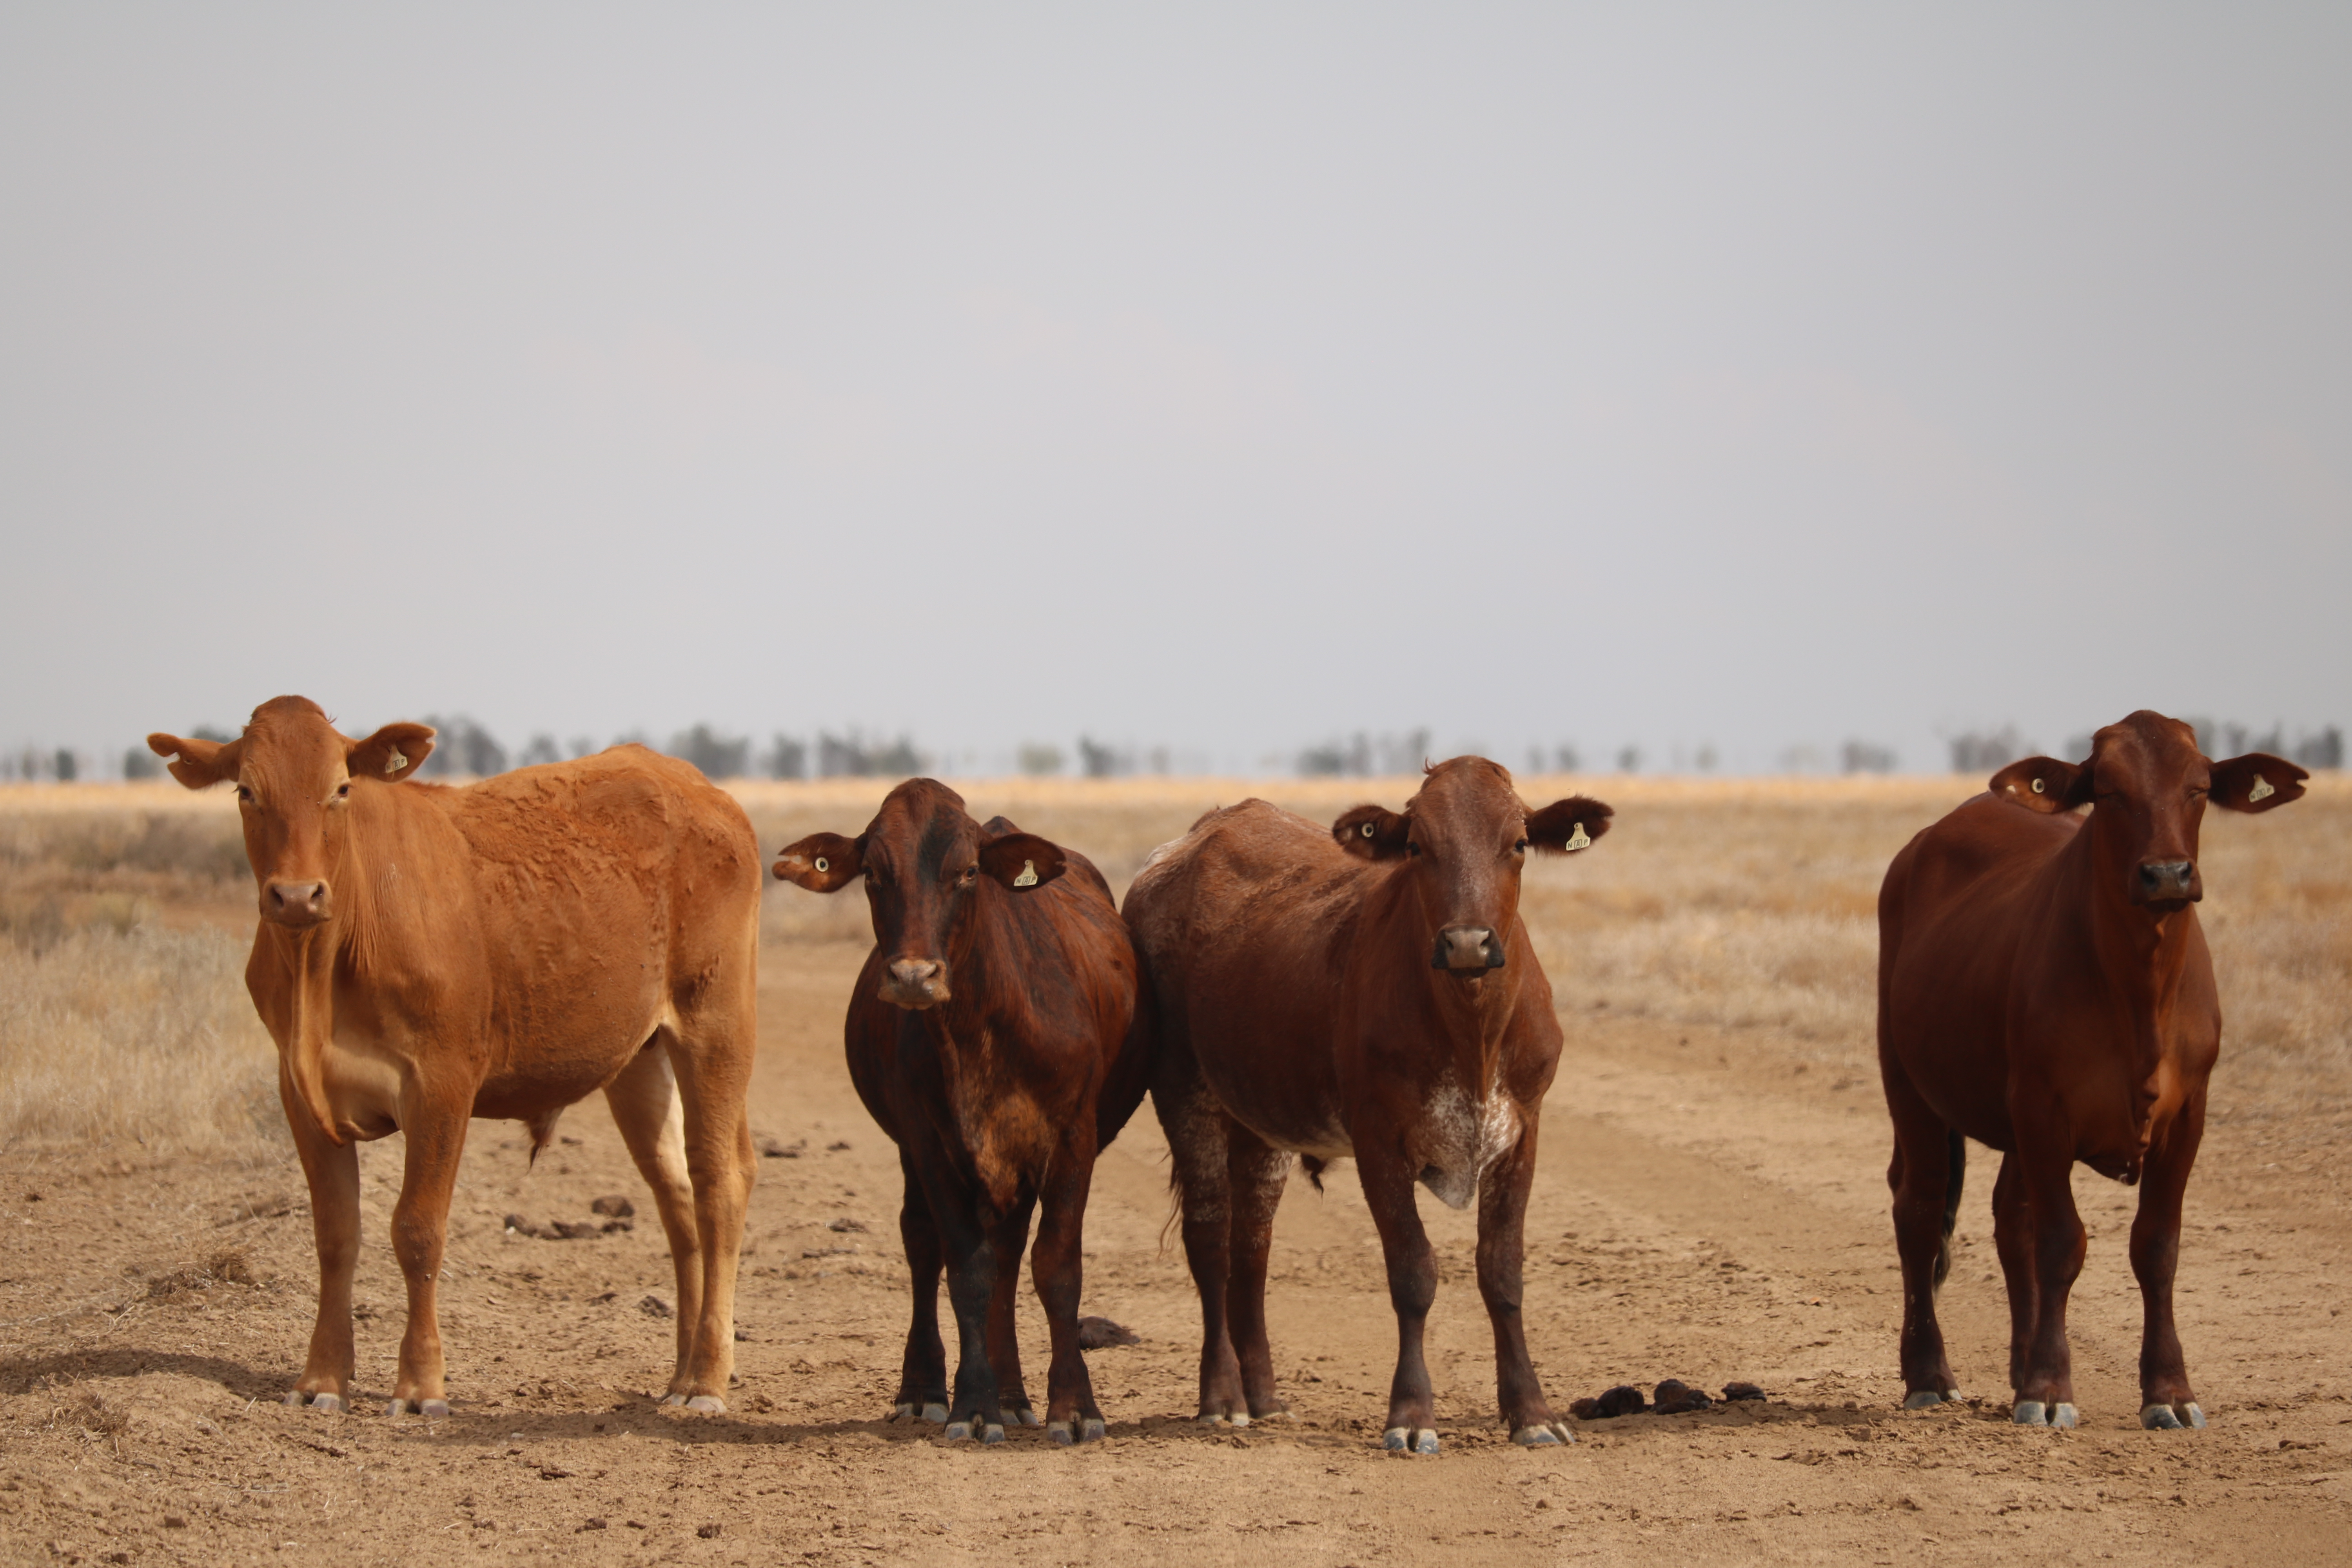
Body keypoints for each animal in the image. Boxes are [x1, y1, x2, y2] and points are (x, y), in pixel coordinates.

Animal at [146, 697, 761, 1418]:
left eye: (341, 789)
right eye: (247, 791)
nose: (297, 896)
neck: (323, 968)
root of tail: (692, 784)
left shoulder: (440, 1085)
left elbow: (417, 1230)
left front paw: (420, 1387)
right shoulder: (300, 1092)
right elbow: (335, 1235)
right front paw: (322, 1380)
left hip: (716, 1027)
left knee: (720, 1184)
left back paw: (708, 1380)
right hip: (641, 1059)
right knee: (677, 1196)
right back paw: (681, 1373)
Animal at [771, 779, 1148, 1444]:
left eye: (969, 871)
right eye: (873, 873)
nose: (913, 976)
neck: (983, 1029)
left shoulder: (1072, 1139)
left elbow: (1056, 1268)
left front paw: (1074, 1406)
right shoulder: (930, 1146)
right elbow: (966, 1270)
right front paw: (973, 1404)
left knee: (1010, 1256)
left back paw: (1014, 1395)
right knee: (926, 1248)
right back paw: (927, 1390)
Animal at [1122, 757, 1613, 1452]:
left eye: (1518, 843)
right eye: (1417, 847)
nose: (1468, 944)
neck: (1471, 1032)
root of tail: (1199, 836)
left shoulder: (1522, 1134)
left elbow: (1502, 1272)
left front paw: (1532, 1412)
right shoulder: (1379, 1141)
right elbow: (1413, 1273)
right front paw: (1411, 1415)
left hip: (1262, 1121)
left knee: (1252, 1248)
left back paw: (1264, 1395)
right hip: (1183, 1090)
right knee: (1210, 1240)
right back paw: (1222, 1398)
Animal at [1877, 709, 2307, 1429]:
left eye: (2198, 788)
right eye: (2107, 791)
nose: (2167, 874)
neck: (2140, 985)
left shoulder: (2187, 1116)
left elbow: (2156, 1248)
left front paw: (2169, 1392)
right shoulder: (2042, 1107)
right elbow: (2062, 1243)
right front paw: (2050, 1389)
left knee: (2009, 1218)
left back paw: (2018, 1362)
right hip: (1908, 1084)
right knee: (1920, 1212)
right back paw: (1929, 1375)